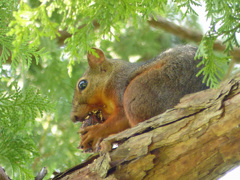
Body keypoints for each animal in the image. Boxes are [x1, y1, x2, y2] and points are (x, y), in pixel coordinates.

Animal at [71, 45, 208, 152]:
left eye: (82, 84)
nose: (74, 118)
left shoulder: (119, 86)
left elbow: (120, 118)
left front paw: (94, 132)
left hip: (139, 91)